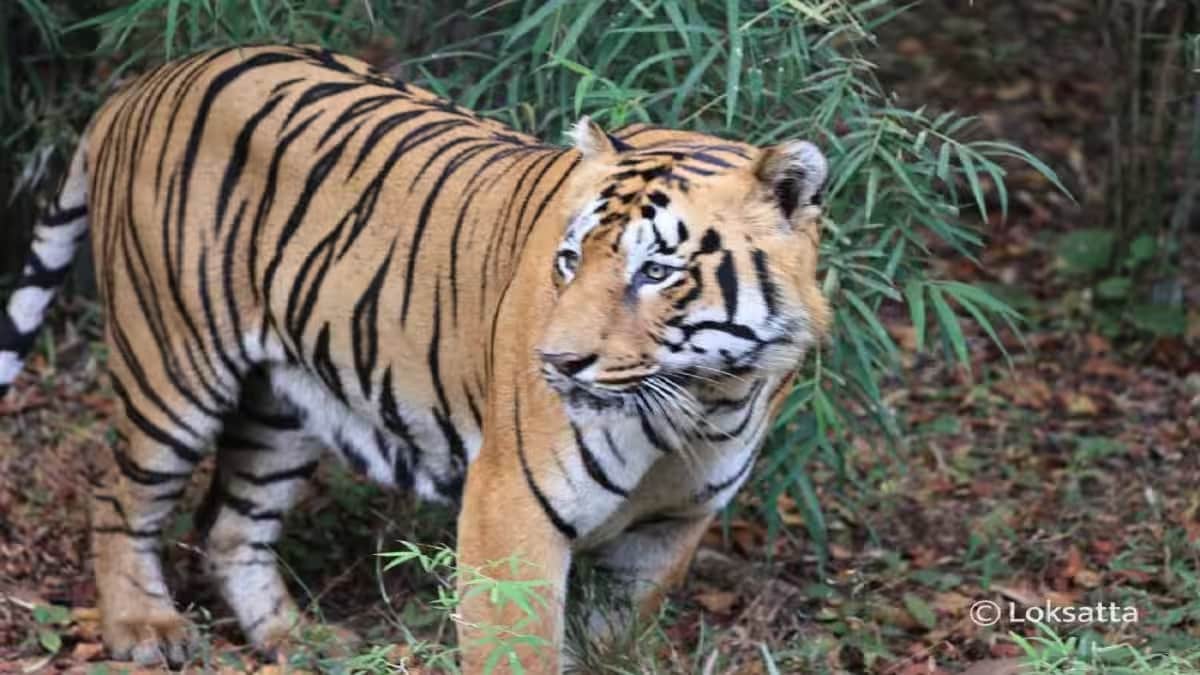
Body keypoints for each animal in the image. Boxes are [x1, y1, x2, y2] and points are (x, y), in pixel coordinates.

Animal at [0, 44, 829, 672]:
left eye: (655, 271)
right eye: (569, 261)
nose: (556, 362)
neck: (707, 397)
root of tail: (145, 81)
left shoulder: (669, 529)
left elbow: (607, 639)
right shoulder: (510, 508)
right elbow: (513, 648)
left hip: (285, 400)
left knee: (234, 526)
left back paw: (300, 640)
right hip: (173, 365)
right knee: (116, 497)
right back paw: (144, 628)